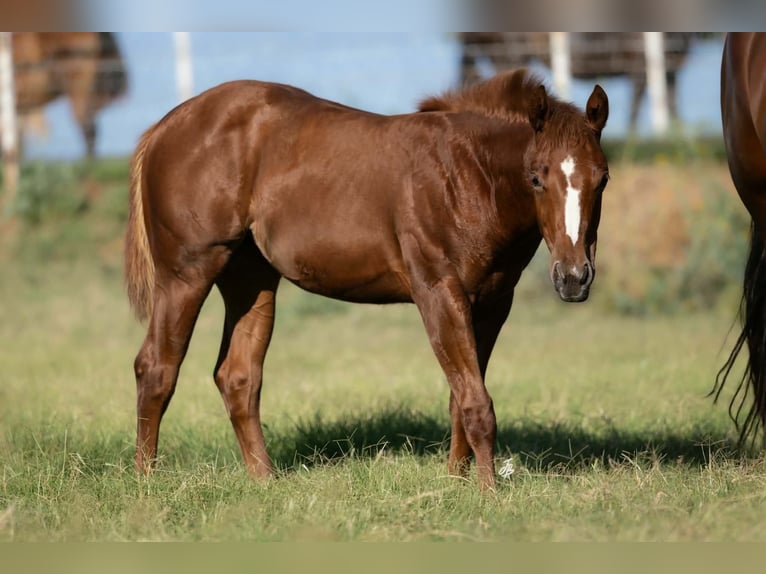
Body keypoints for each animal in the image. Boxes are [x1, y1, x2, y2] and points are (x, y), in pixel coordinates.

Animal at [124, 69, 609, 490]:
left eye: (602, 179)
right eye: (536, 178)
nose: (573, 278)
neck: (467, 174)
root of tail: (164, 128)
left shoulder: (491, 304)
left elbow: (461, 396)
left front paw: (456, 484)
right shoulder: (438, 292)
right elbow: (476, 401)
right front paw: (487, 494)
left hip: (250, 278)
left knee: (238, 376)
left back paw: (264, 481)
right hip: (187, 273)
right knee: (156, 367)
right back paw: (147, 482)